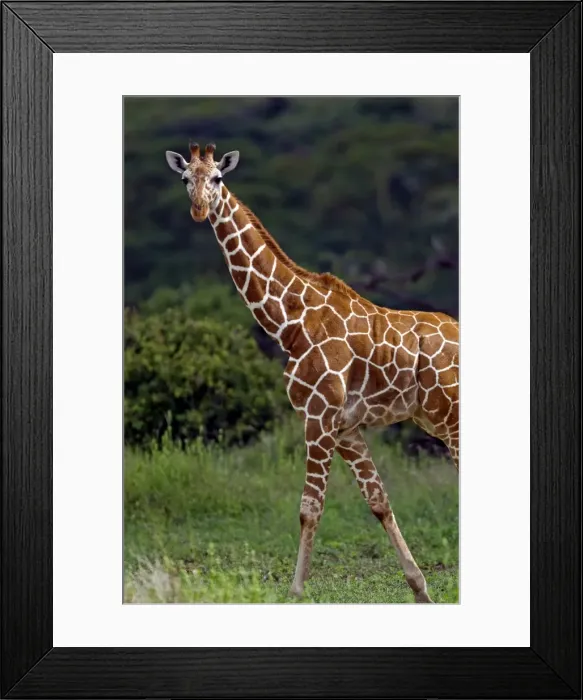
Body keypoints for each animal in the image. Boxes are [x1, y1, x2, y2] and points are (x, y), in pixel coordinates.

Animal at [165, 143, 459, 603]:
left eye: (217, 177)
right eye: (184, 178)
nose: (199, 209)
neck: (291, 323)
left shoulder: (318, 416)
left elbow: (309, 509)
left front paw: (296, 591)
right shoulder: (345, 427)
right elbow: (379, 501)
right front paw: (421, 590)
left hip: (452, 418)